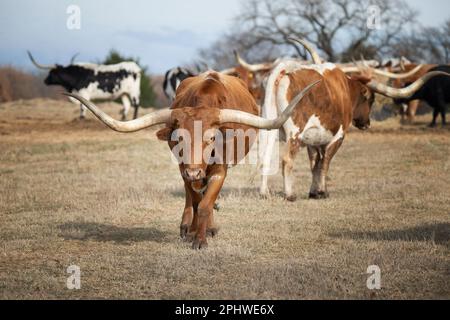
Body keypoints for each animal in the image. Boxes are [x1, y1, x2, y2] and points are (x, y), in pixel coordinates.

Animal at [66, 71, 320, 249]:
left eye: (211, 138)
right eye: (179, 138)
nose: (194, 172)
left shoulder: (219, 170)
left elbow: (206, 204)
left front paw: (201, 239)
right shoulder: (183, 168)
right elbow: (197, 201)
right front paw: (192, 232)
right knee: (192, 196)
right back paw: (187, 224)